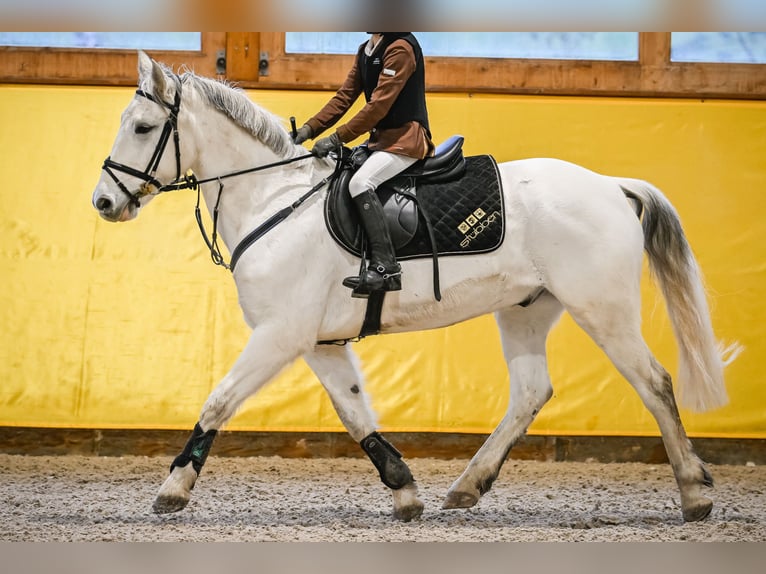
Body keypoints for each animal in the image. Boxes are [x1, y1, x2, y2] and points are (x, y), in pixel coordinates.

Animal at [93, 51, 740, 524]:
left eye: (144, 128)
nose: (103, 203)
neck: (274, 198)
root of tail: (611, 185)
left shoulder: (280, 335)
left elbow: (218, 401)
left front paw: (173, 488)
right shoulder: (317, 342)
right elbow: (356, 415)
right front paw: (405, 492)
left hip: (602, 309)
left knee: (654, 382)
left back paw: (695, 493)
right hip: (526, 310)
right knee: (531, 392)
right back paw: (466, 488)